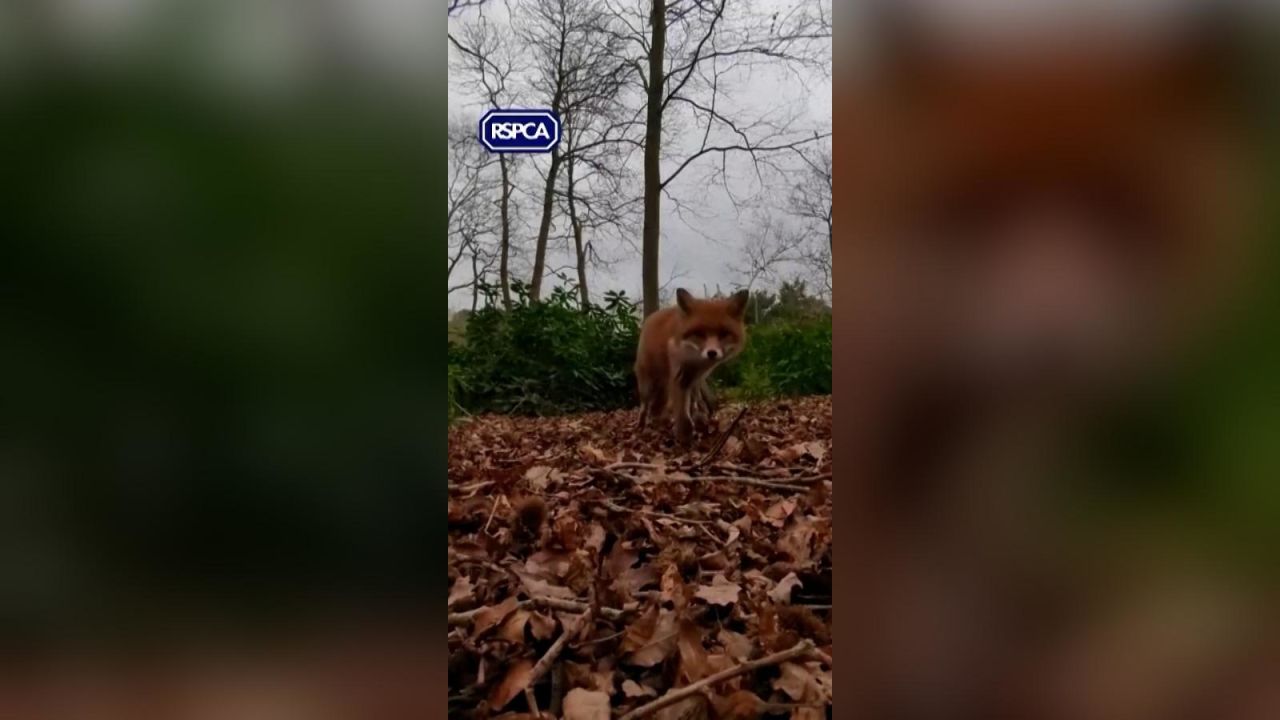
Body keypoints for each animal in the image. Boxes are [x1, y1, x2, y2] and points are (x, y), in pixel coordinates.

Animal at [632, 285, 747, 443]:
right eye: (699, 333)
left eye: (724, 333)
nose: (712, 353)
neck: (695, 361)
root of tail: (651, 316)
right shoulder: (680, 376)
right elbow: (682, 413)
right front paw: (684, 437)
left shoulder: (695, 378)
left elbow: (694, 403)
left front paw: (698, 422)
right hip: (647, 384)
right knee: (644, 406)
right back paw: (642, 424)